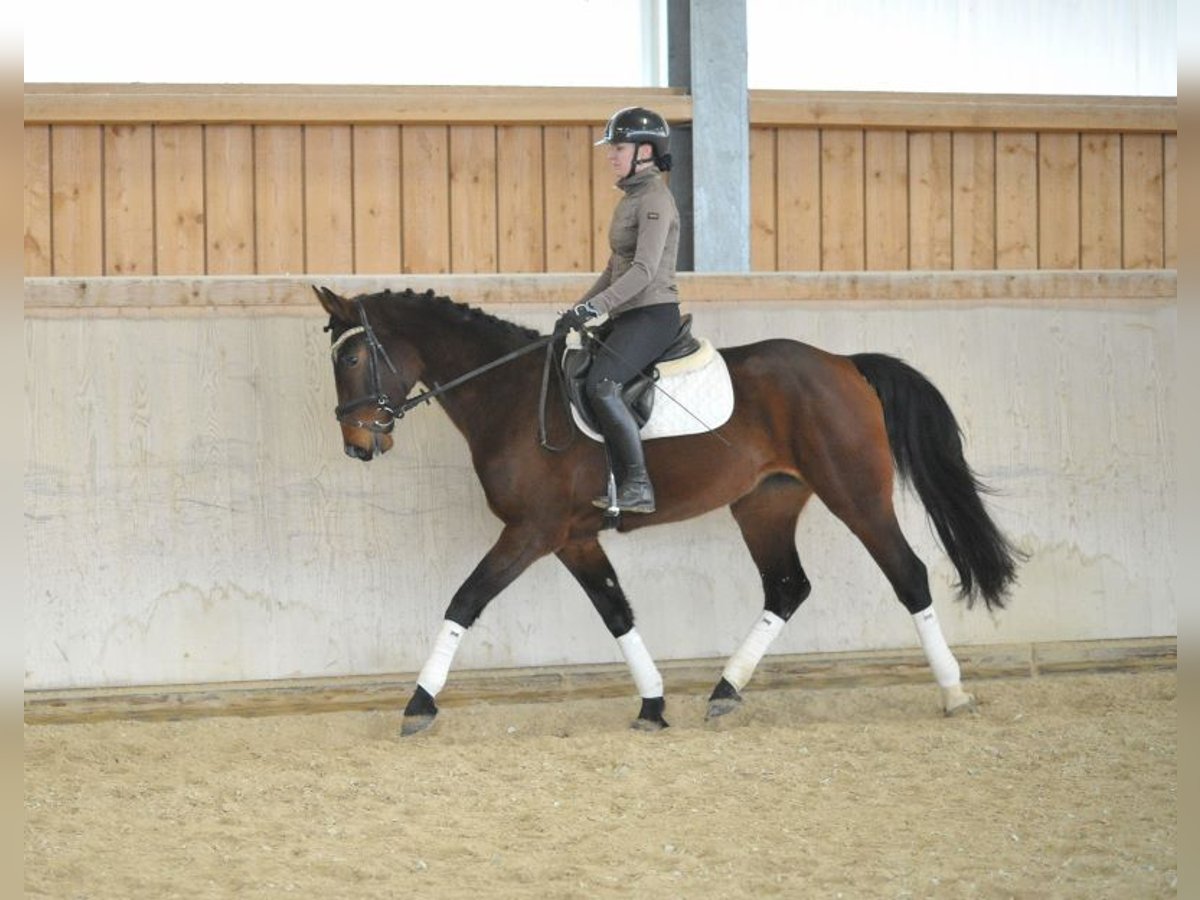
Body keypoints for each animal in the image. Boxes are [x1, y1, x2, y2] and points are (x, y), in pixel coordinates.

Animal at [314, 289, 1017, 739]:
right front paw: (652, 704)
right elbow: (616, 611)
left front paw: (419, 703)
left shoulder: (532, 531)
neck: (508, 396)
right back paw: (725, 691)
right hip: (765, 503)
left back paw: (954, 692)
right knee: (787, 587)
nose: (357, 444)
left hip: (856, 495)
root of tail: (845, 364)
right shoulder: (571, 536)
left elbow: (464, 600)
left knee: (909, 575)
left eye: (350, 358)